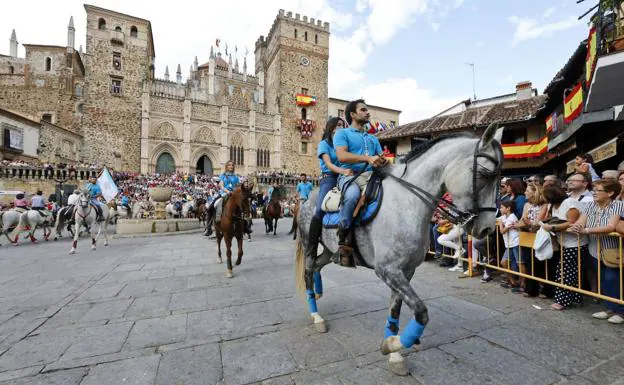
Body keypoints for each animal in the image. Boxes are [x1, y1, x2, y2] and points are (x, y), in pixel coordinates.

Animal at [294, 124, 504, 376]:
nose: (487, 228)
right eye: (485, 174)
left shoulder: (405, 271)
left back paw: (318, 292)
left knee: (317, 267)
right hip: (310, 243)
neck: (407, 204)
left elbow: (395, 312)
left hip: (328, 250)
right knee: (308, 270)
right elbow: (421, 312)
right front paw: (394, 345)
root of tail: (307, 200)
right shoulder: (388, 271)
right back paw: (316, 315)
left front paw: (393, 350)